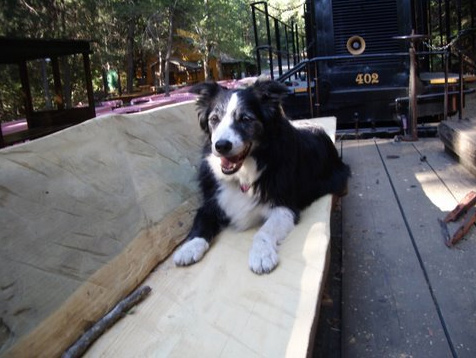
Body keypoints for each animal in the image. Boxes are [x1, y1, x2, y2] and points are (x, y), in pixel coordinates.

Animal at [172, 78, 350, 274]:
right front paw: (189, 248)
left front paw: (261, 256)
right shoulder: (212, 201)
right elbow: (200, 222)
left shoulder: (284, 205)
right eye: (214, 119)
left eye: (245, 119)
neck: (242, 175)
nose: (221, 146)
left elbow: (264, 231)